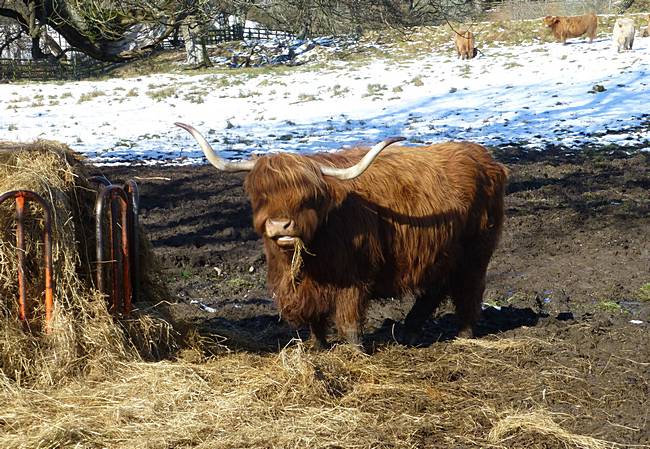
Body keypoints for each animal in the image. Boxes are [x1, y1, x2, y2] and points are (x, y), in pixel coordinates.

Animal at [176, 122, 506, 350]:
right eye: (260, 195)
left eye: (306, 198)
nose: (281, 226)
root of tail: (485, 158)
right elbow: (313, 318)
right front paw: (318, 346)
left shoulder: (354, 278)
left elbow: (348, 320)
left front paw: (356, 352)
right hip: (442, 252)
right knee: (436, 289)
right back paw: (410, 330)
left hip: (476, 251)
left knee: (468, 289)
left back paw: (464, 335)